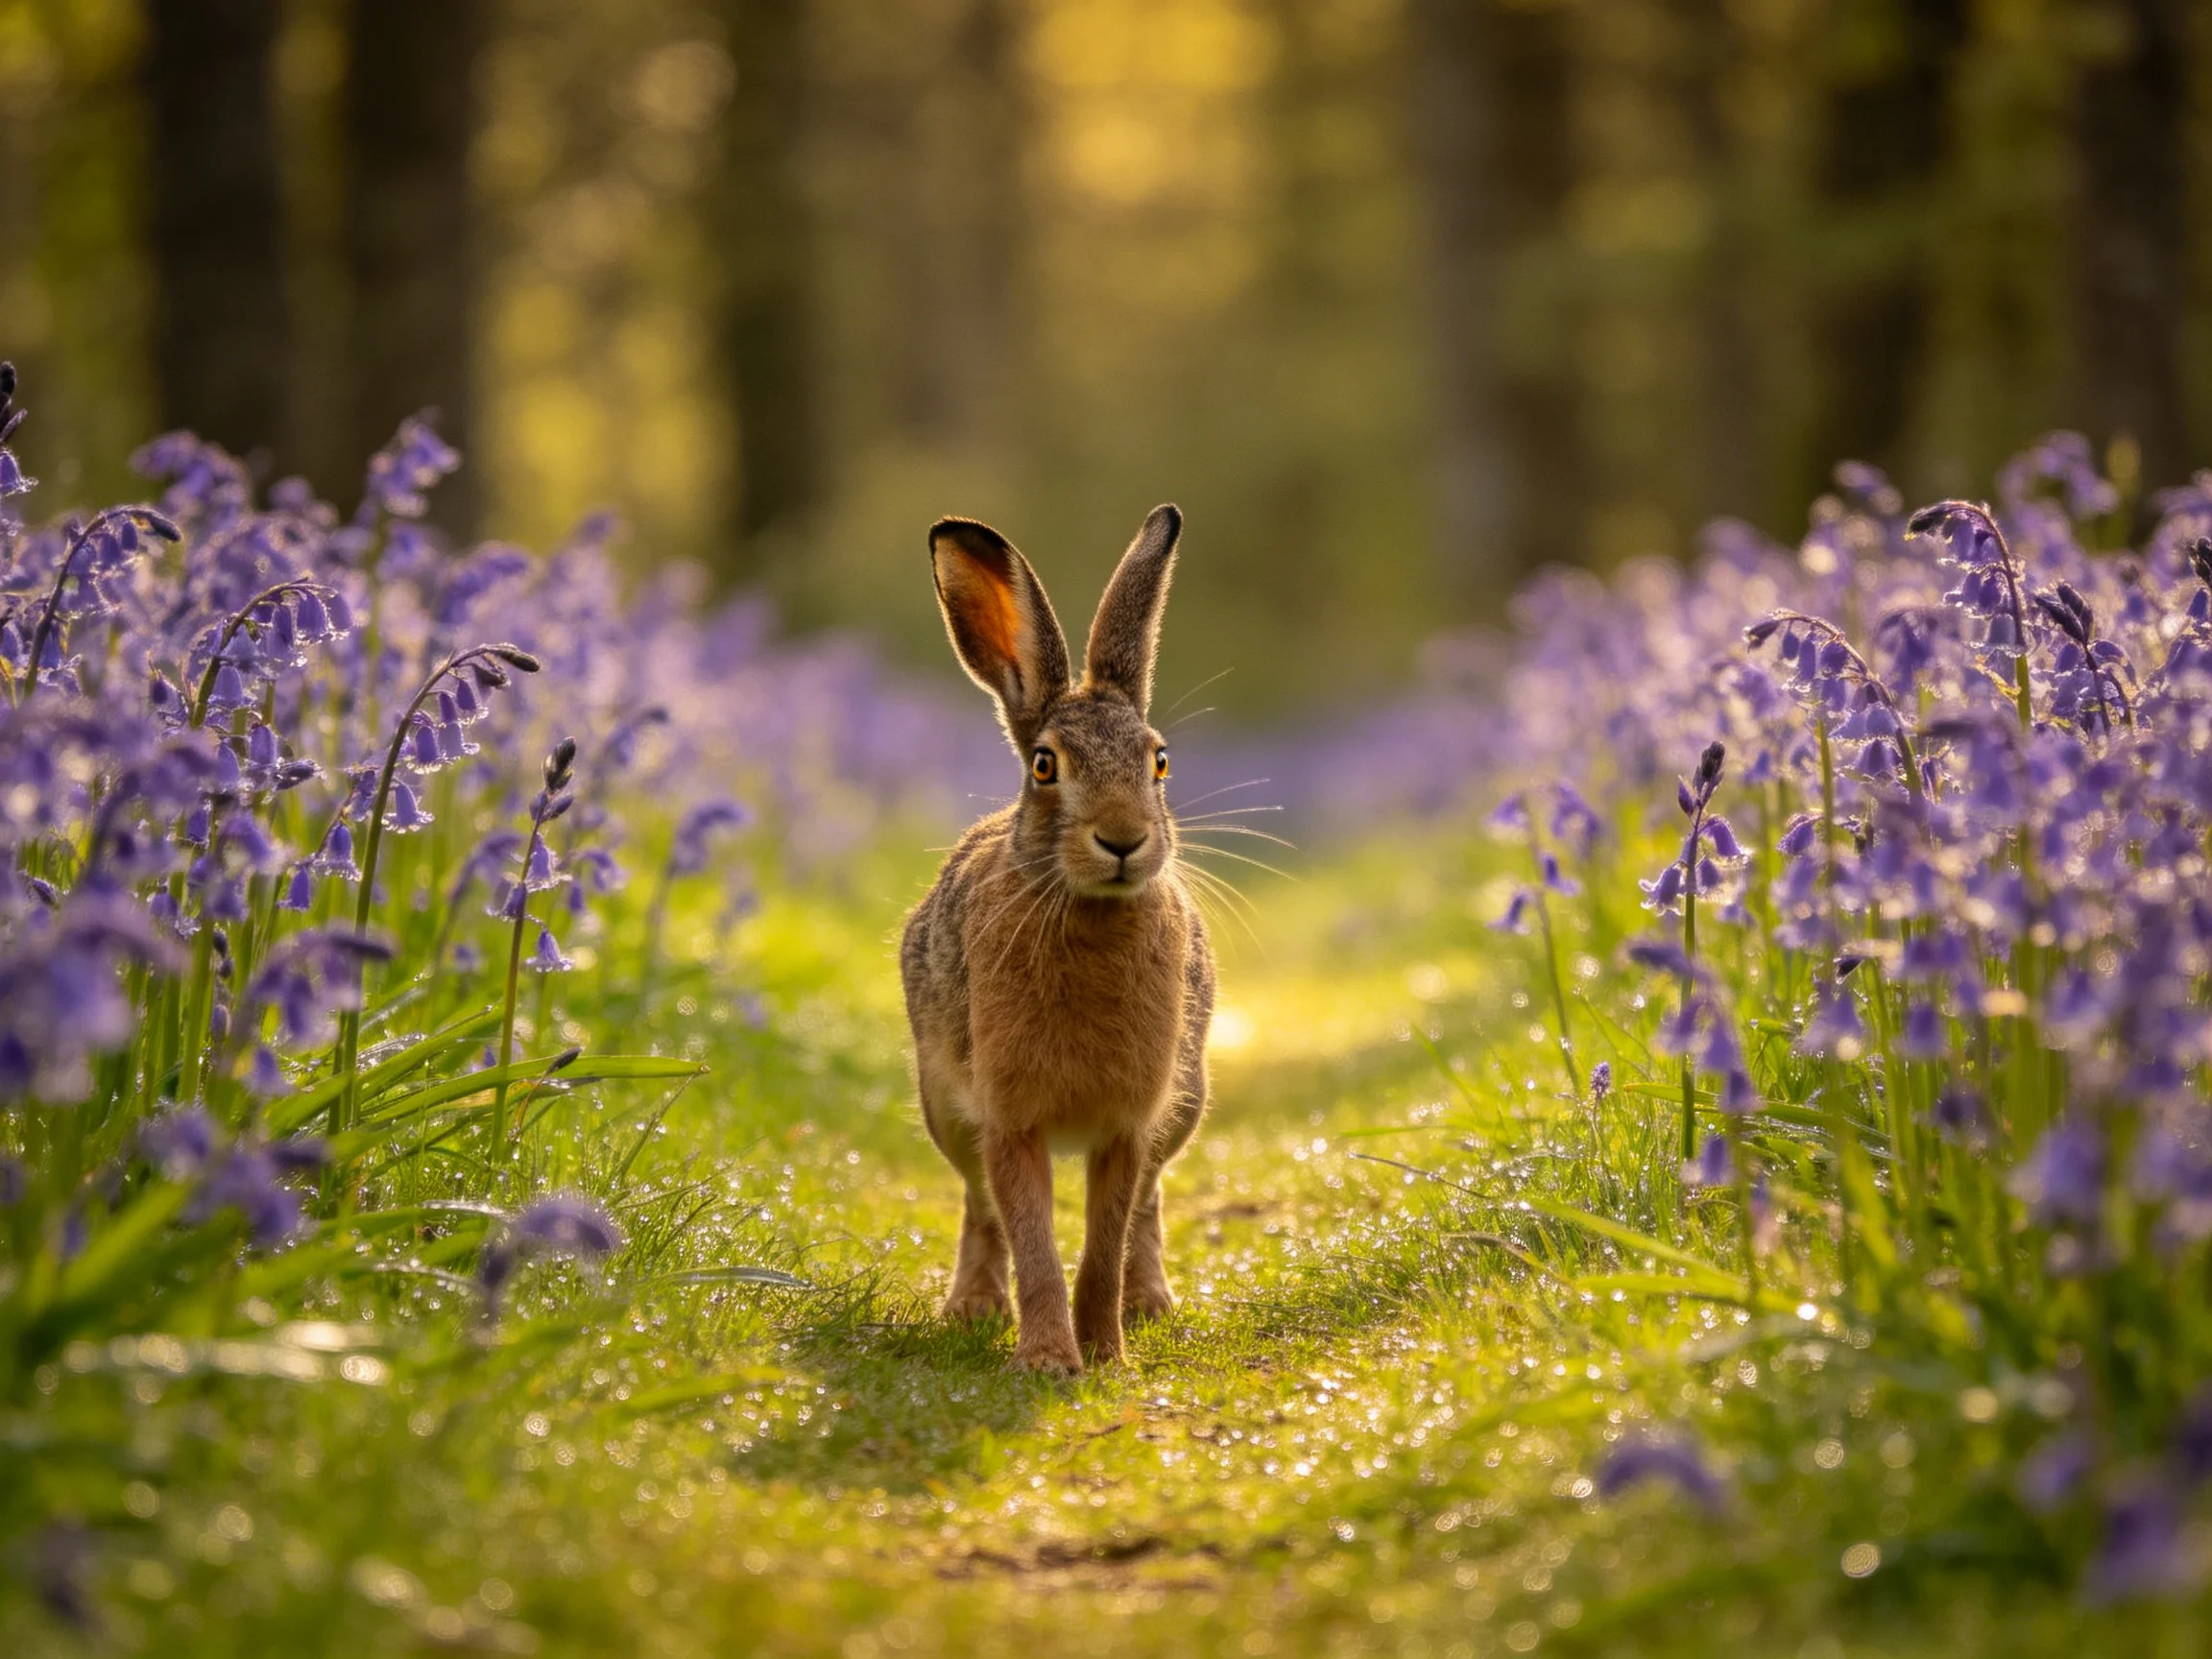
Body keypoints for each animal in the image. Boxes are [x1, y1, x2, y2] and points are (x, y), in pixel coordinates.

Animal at [900, 503, 1215, 1375]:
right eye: (1045, 765)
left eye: (1159, 762)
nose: (1123, 839)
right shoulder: (1011, 1120)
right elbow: (1033, 1239)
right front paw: (1046, 1360)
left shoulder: (1128, 1127)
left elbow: (1103, 1243)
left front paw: (1105, 1354)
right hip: (946, 1109)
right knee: (980, 1209)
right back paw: (972, 1309)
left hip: (1185, 1103)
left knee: (1147, 1211)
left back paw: (1151, 1303)